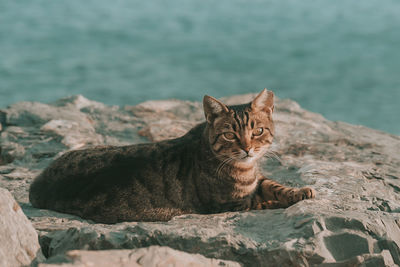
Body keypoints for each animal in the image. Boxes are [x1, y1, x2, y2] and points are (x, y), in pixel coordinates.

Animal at [28, 89, 316, 223]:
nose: (247, 148)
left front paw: (300, 191)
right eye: (229, 135)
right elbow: (265, 200)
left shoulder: (258, 180)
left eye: (257, 131)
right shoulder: (232, 203)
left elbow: (274, 185)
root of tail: (37, 184)